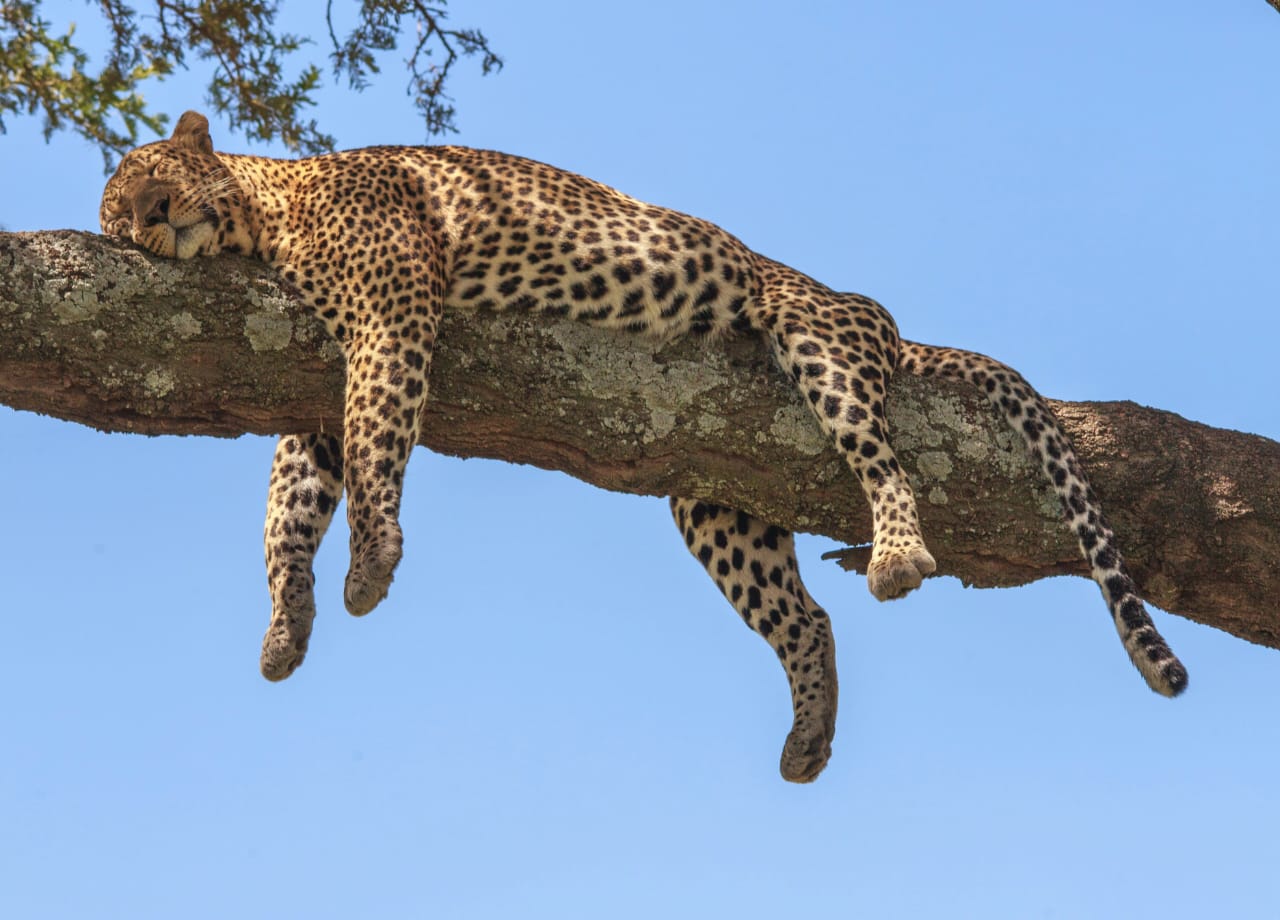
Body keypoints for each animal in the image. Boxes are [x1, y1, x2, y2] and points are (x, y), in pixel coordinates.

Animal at [100, 111, 1187, 782]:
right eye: (115, 215)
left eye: (153, 178)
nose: (149, 220)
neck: (264, 211)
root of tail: (876, 316)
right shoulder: (309, 378)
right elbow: (293, 495)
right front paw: (286, 625)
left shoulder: (389, 308)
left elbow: (377, 436)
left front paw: (371, 563)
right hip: (718, 494)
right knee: (807, 617)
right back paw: (809, 734)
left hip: (818, 340)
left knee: (878, 459)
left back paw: (899, 554)